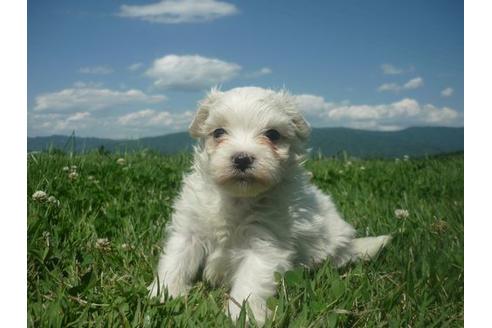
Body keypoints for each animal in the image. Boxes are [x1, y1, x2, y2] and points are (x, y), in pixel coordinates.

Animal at [148, 86, 390, 322]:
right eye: (218, 132)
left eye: (272, 134)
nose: (242, 158)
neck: (237, 198)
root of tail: (351, 244)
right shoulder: (189, 230)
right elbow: (176, 260)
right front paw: (164, 293)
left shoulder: (265, 244)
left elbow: (251, 283)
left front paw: (242, 316)